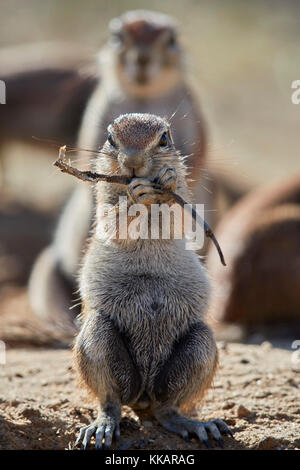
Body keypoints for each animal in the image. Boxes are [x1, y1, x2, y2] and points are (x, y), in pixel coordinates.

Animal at [72, 113, 232, 448]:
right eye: (110, 138)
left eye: (164, 139)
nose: (133, 161)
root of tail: (143, 396)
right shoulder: (104, 201)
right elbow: (114, 220)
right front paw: (135, 198)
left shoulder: (185, 201)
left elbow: (179, 216)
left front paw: (166, 179)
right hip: (98, 340)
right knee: (110, 401)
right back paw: (102, 427)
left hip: (200, 347)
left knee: (168, 408)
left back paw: (195, 424)